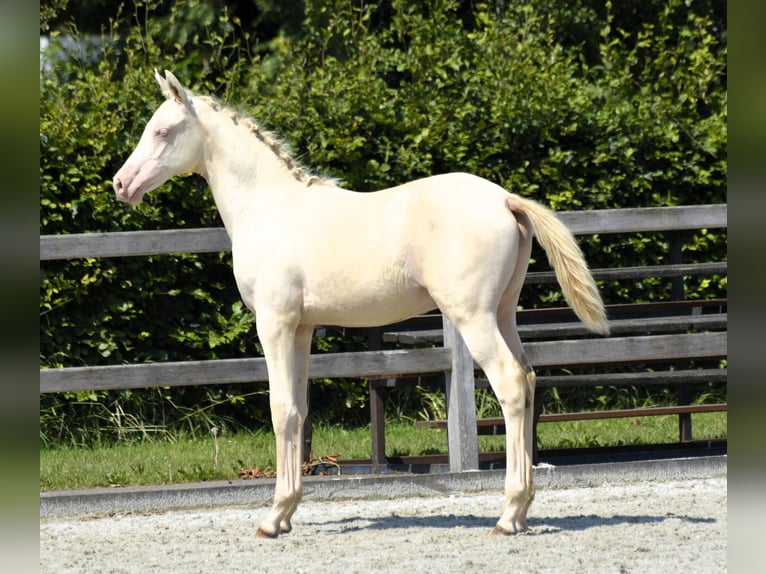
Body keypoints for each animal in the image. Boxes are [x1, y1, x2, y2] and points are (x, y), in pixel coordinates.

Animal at [114, 72, 608, 540]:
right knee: (528, 378)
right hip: (503, 313)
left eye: (162, 130)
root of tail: (505, 199)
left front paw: (272, 518)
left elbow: (280, 409)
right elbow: (299, 410)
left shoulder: (274, 324)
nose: (122, 183)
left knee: (509, 384)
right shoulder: (301, 329)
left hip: (473, 317)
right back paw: (521, 513)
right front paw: (287, 513)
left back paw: (507, 516)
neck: (269, 208)